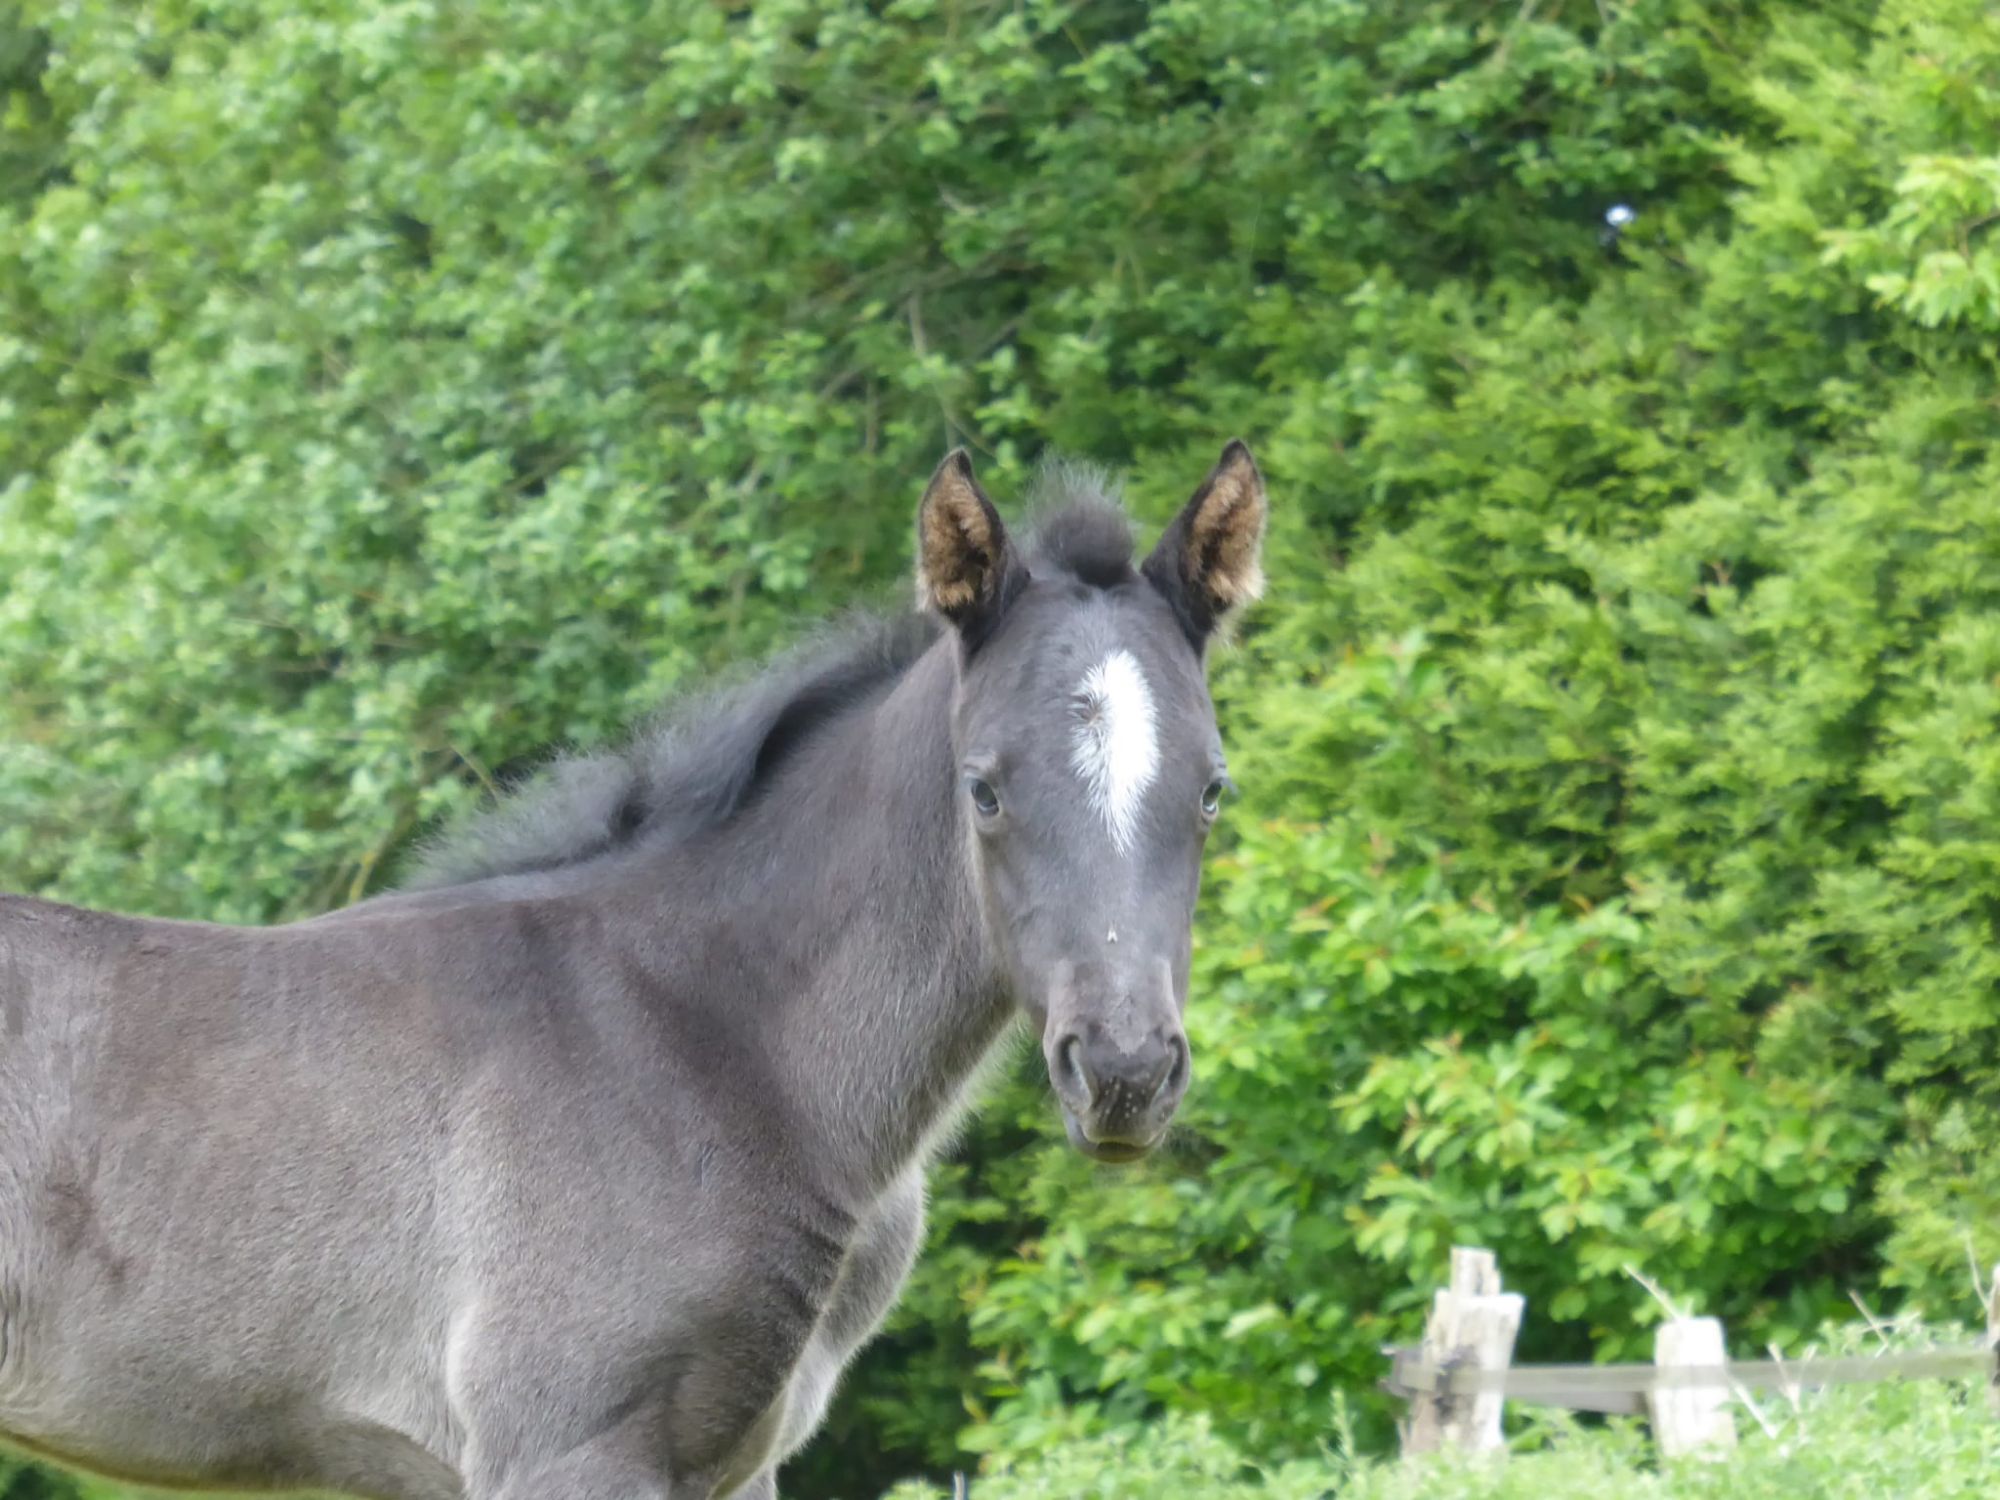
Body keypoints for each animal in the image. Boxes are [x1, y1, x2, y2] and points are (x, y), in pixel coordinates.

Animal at [0, 441, 1269, 1499]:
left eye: (1211, 790)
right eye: (984, 789)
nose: (1122, 1073)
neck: (703, 1039)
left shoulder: (740, 1466)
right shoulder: (567, 1449)